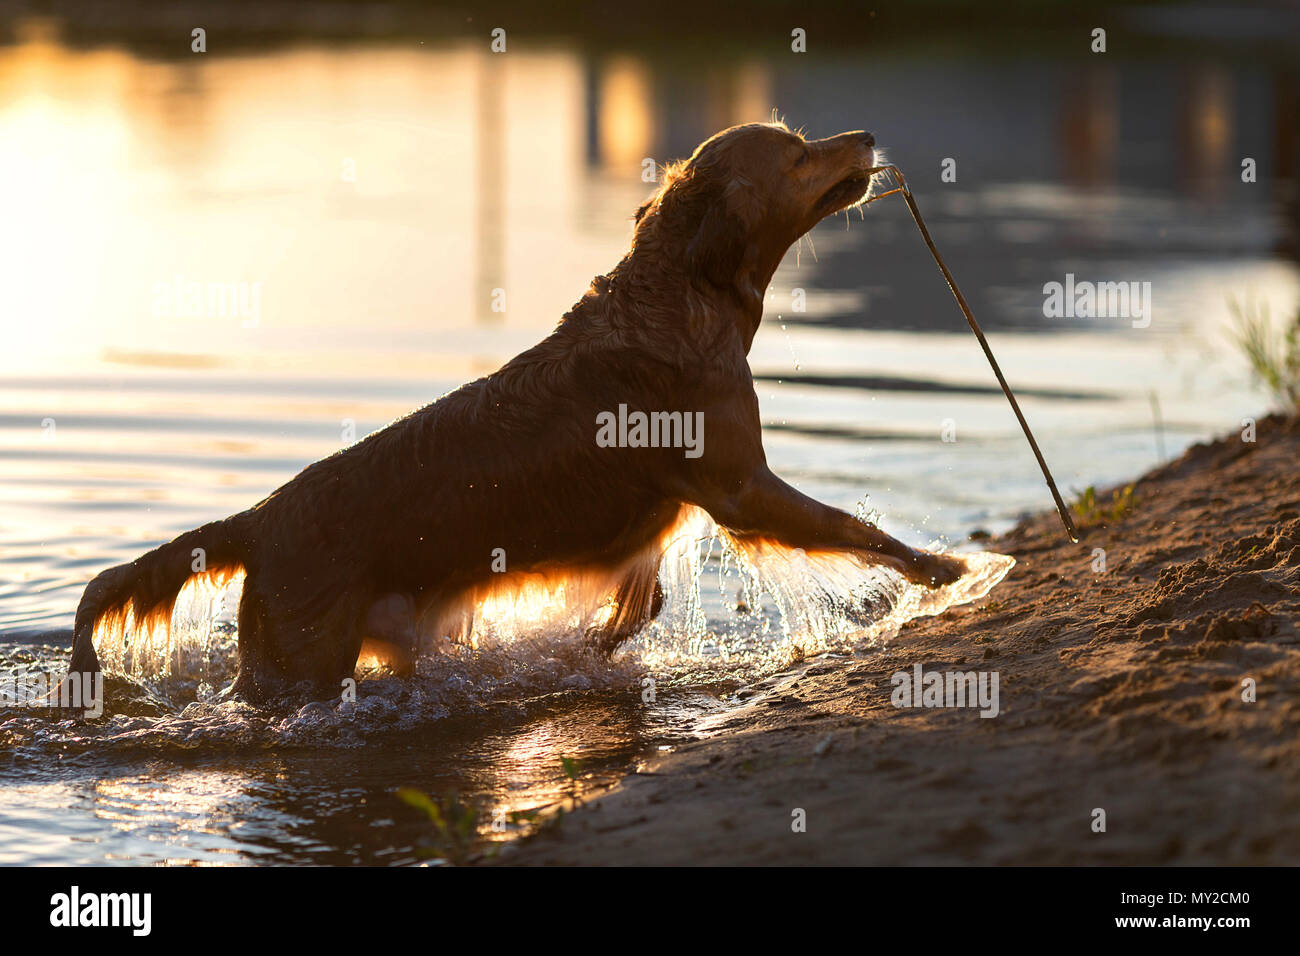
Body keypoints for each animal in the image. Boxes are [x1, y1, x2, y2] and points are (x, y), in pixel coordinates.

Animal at [58, 123, 967, 707]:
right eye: (797, 150)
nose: (866, 135)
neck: (679, 297)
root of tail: (258, 517)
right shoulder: (740, 485)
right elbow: (857, 528)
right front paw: (946, 567)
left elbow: (639, 605)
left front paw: (589, 647)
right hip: (300, 657)